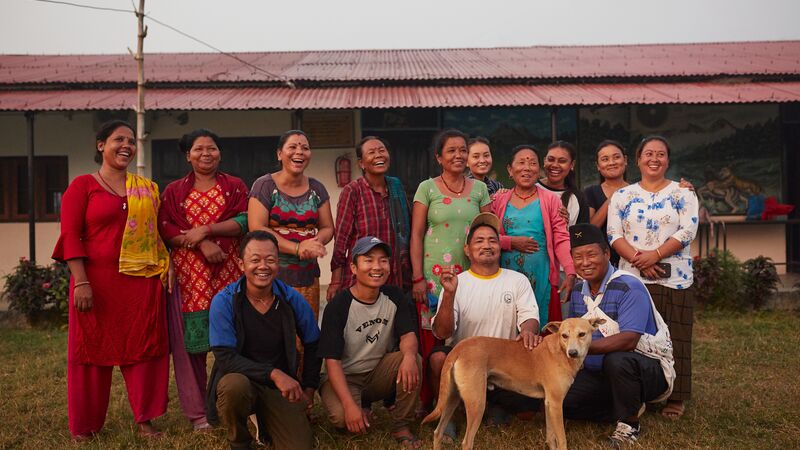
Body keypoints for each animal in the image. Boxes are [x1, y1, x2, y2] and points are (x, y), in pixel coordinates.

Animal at [422, 316, 604, 450]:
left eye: (582, 334)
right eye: (564, 335)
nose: (572, 353)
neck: (559, 350)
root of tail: (459, 348)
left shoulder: (549, 404)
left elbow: (551, 437)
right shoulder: (556, 403)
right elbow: (562, 440)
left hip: (451, 399)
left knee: (437, 432)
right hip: (477, 404)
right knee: (467, 442)